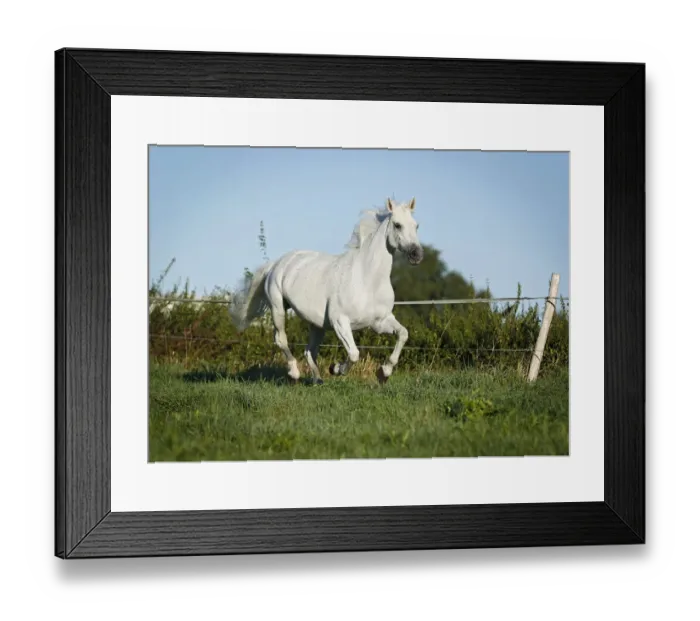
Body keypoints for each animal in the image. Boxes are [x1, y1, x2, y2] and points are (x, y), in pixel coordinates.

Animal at [229, 197, 424, 384]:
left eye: (416, 225)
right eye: (397, 225)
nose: (417, 254)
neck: (367, 279)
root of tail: (276, 263)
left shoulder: (379, 322)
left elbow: (403, 334)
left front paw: (384, 372)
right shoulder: (339, 321)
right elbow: (354, 353)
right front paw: (336, 369)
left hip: (316, 324)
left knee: (309, 350)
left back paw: (317, 379)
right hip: (278, 308)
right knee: (281, 339)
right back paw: (294, 373)